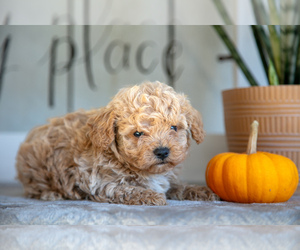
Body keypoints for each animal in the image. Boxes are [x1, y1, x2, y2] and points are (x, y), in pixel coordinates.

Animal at [15, 81, 218, 205]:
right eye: (137, 133)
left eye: (174, 128)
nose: (162, 152)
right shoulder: (100, 182)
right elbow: (127, 189)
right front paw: (151, 196)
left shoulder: (167, 177)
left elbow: (178, 185)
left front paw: (201, 191)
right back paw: (51, 193)